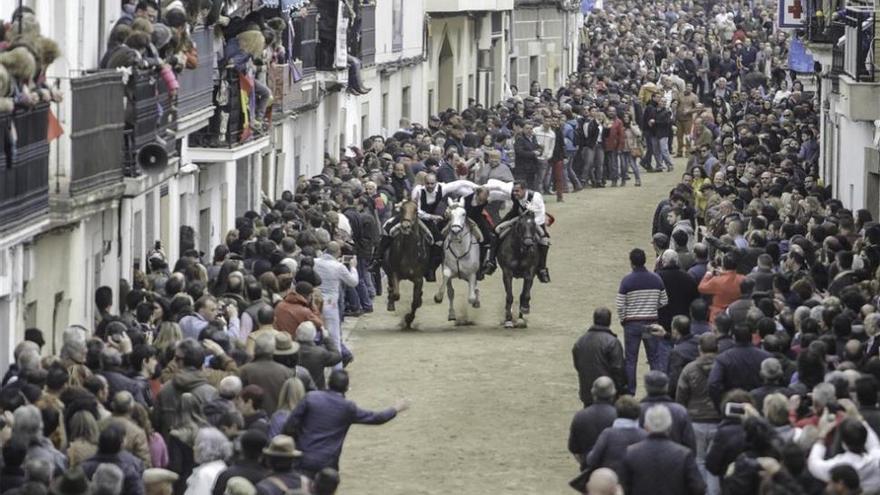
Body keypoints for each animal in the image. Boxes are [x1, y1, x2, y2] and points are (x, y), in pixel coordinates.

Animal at [384, 200, 432, 328]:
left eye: (416, 211)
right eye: (402, 209)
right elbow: (396, 294)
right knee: (391, 286)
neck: (409, 252)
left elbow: (415, 301)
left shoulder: (418, 278)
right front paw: (391, 299)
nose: (406, 226)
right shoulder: (395, 272)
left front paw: (409, 318)